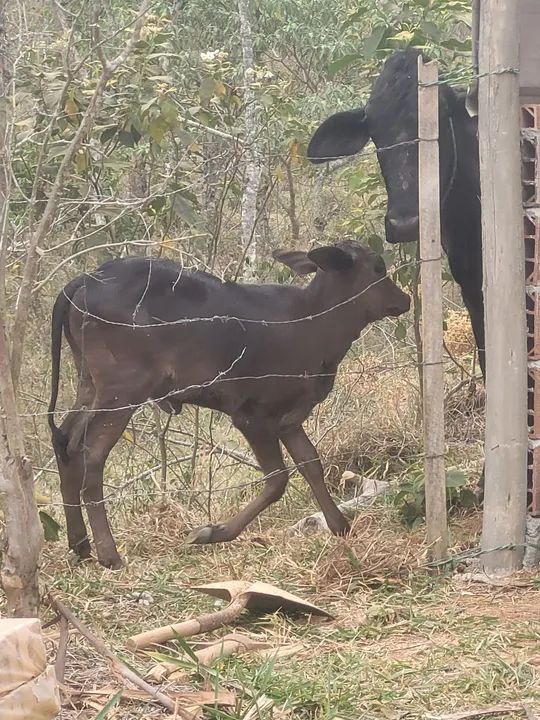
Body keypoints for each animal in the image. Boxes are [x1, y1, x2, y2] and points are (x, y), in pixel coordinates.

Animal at [48, 240, 410, 569]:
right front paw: (212, 533)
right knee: (91, 453)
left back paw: (79, 545)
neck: (314, 323)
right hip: (122, 390)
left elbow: (311, 464)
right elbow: (277, 479)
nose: (404, 299)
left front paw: (339, 525)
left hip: (89, 384)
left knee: (65, 440)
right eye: (378, 267)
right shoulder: (252, 415)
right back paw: (109, 554)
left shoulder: (289, 418)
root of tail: (84, 280)